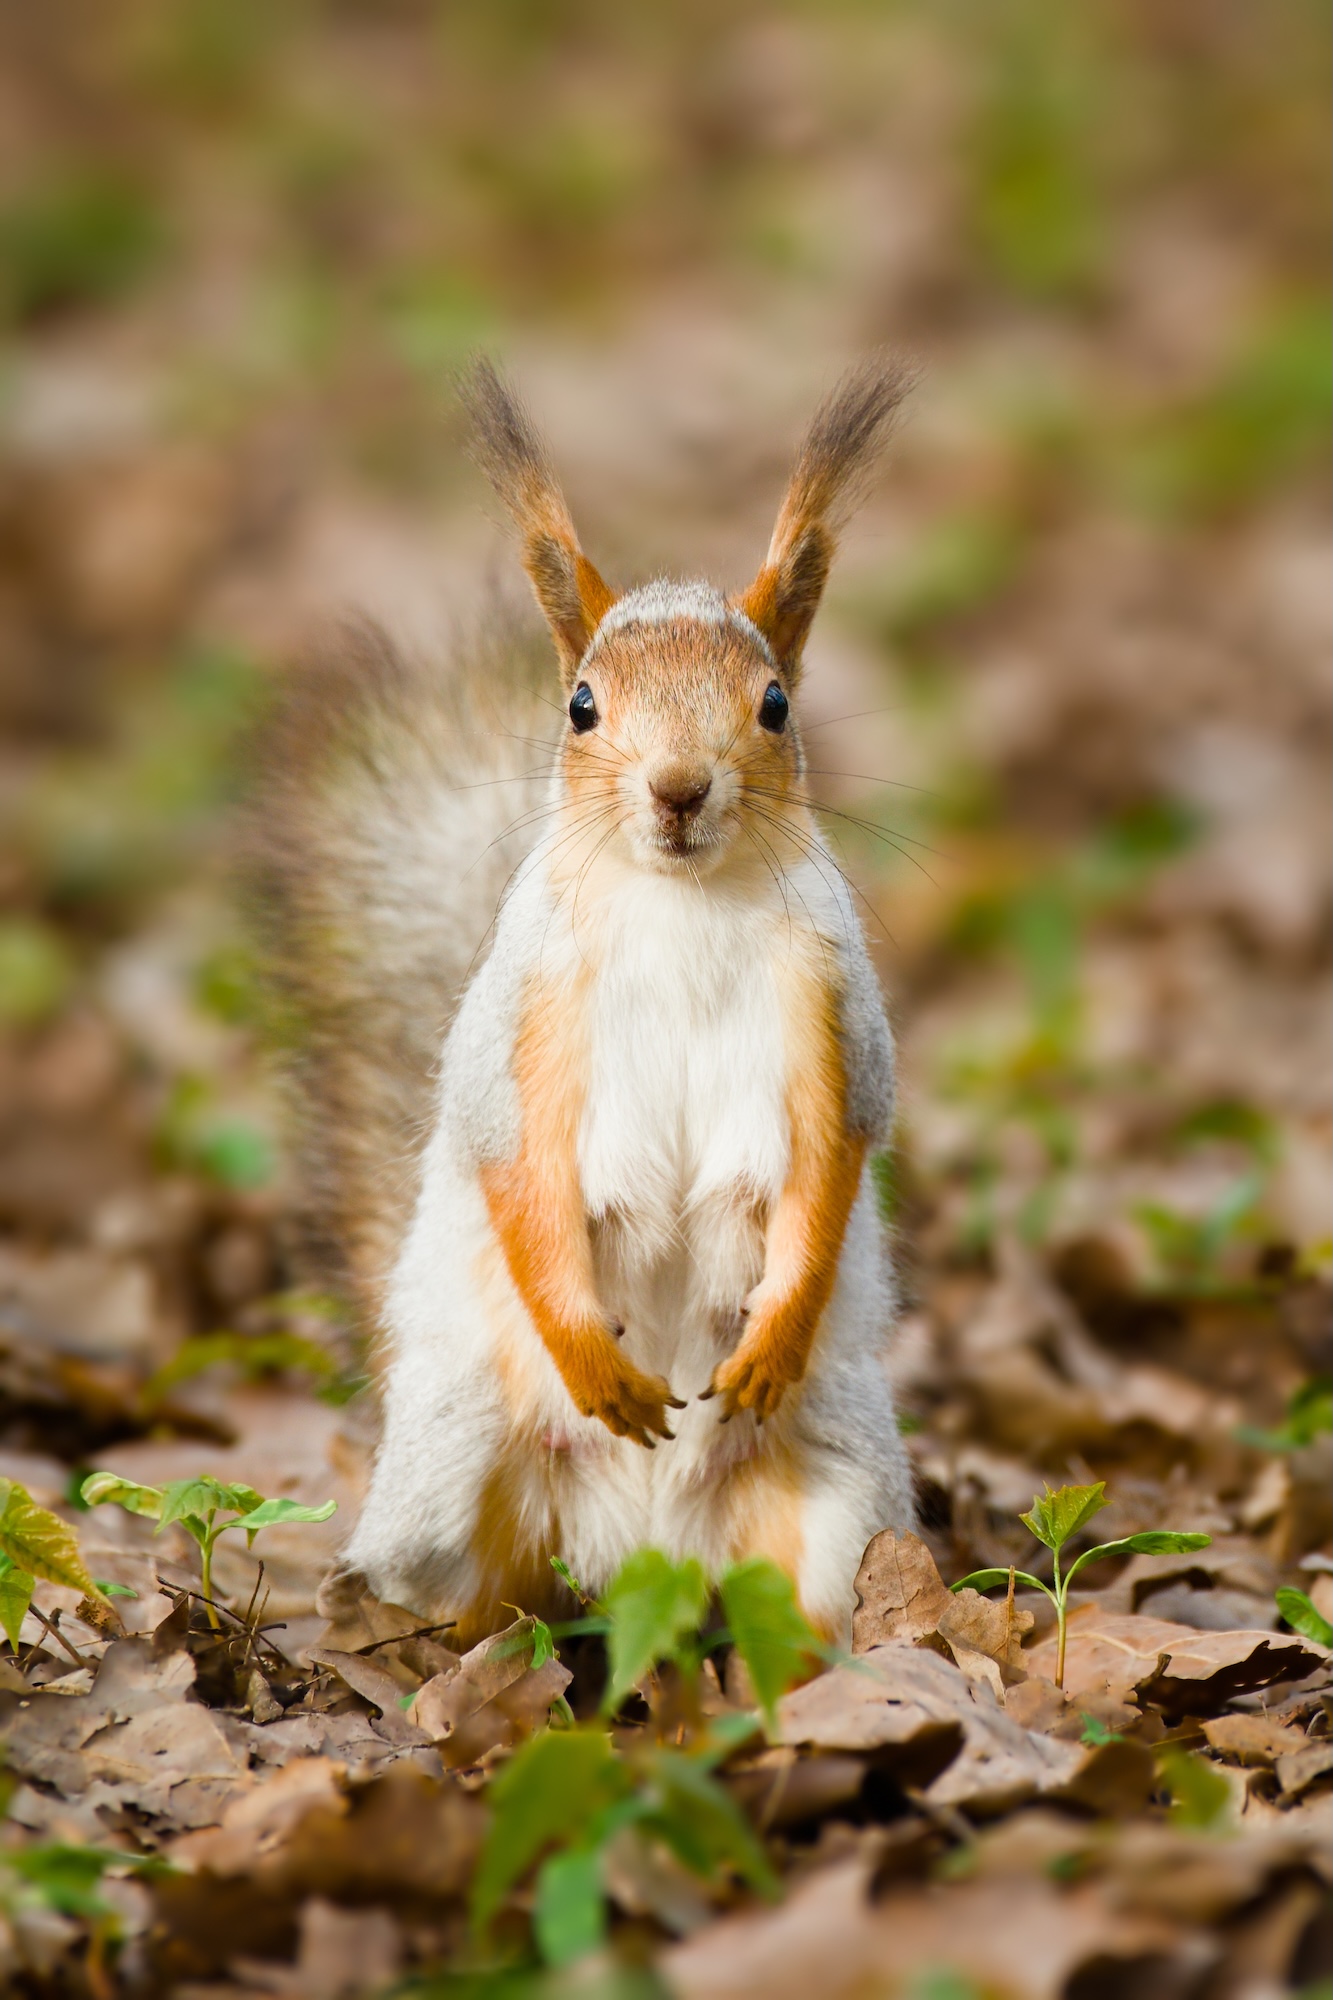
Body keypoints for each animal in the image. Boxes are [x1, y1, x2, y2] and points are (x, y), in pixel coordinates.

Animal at [251, 355, 918, 1647]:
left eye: (774, 702)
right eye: (579, 704)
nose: (678, 787)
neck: (680, 903)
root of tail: (642, 1551)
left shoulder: (830, 1006)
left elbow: (830, 1155)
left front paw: (776, 1330)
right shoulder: (528, 1012)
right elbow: (515, 1162)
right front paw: (586, 1349)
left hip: (839, 1514)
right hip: (451, 1488)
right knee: (459, 1604)